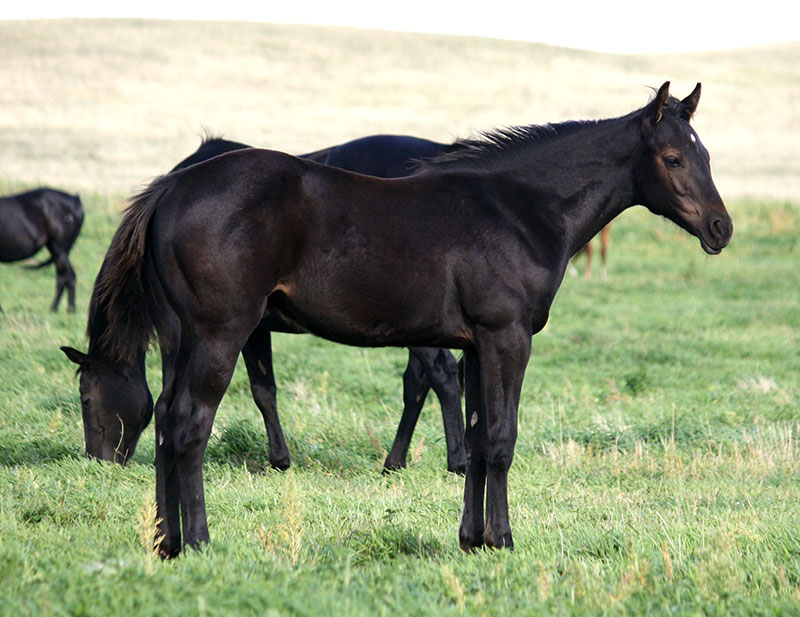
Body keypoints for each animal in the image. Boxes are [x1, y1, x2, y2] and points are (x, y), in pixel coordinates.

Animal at [64, 134, 468, 472]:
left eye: (85, 398)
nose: (98, 461)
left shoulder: (192, 330)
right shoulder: (251, 329)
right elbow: (264, 389)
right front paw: (279, 458)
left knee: (442, 374)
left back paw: (457, 461)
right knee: (420, 381)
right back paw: (396, 461)